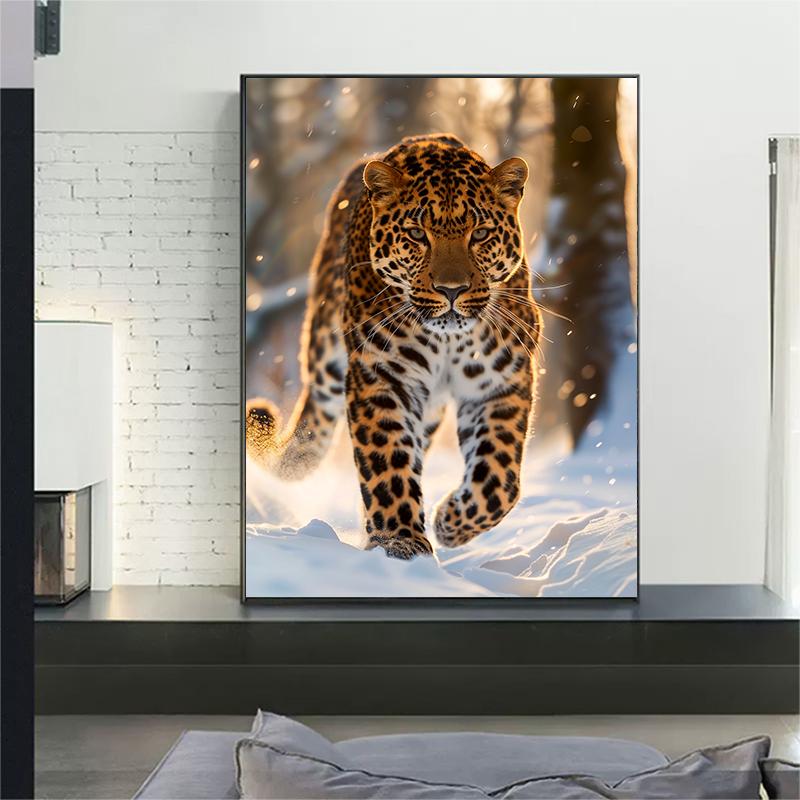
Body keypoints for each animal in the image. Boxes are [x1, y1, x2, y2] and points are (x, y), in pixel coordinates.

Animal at [246, 134, 542, 559]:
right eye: (417, 235)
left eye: (480, 234)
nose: (452, 291)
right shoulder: (381, 376)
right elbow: (387, 461)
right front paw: (400, 541)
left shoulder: (501, 381)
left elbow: (500, 477)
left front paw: (450, 522)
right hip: (326, 361)